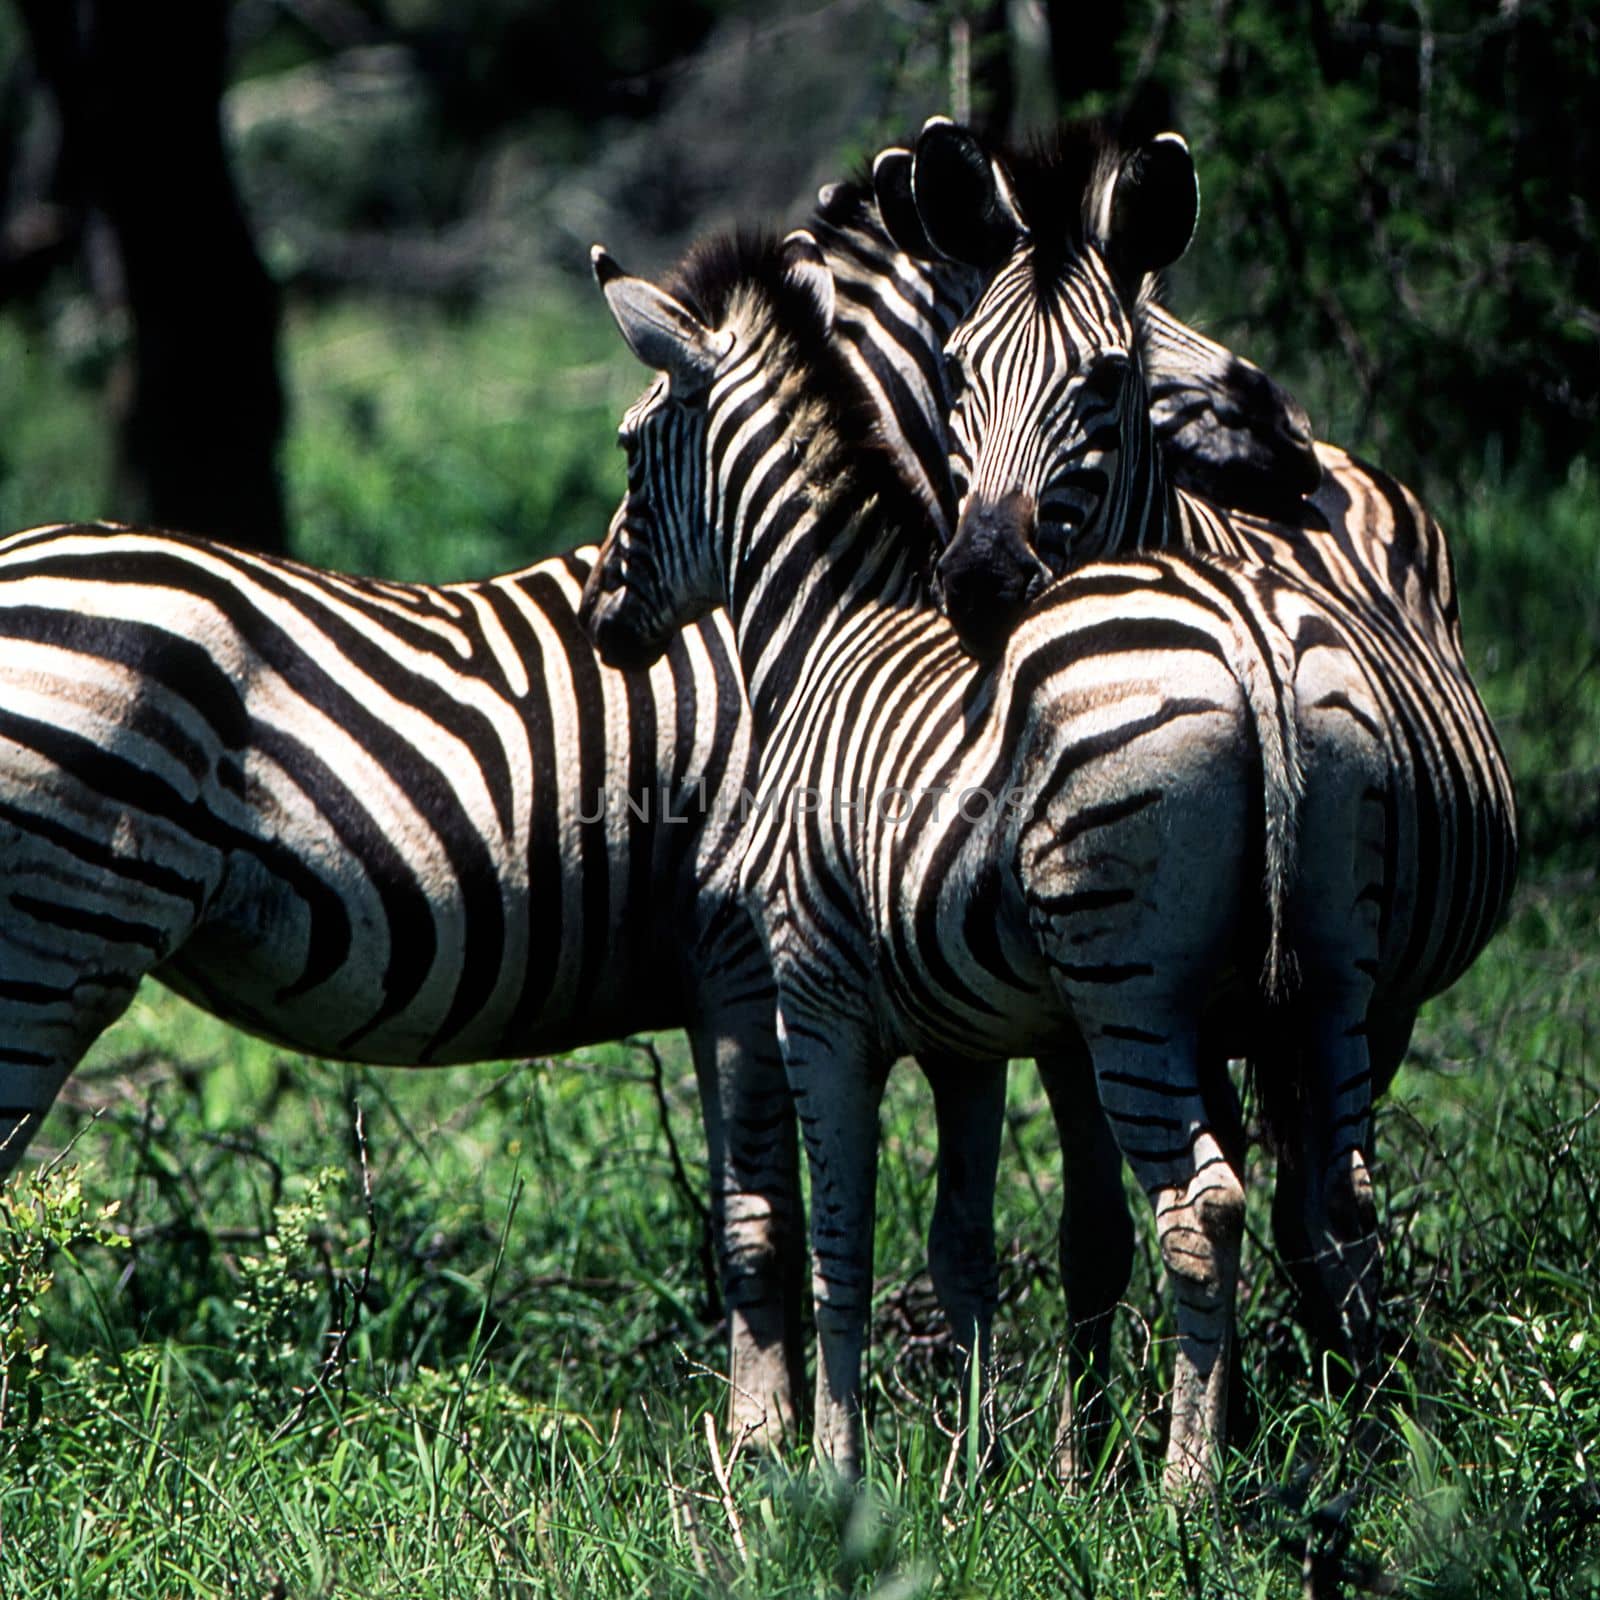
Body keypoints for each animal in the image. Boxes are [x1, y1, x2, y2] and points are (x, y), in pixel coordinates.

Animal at [582, 222, 1395, 1484]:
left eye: (628, 448)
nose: (596, 615)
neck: (819, 636)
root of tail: (1249, 636)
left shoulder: (814, 1001)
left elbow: (842, 1241)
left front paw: (835, 1470)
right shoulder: (962, 1037)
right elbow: (959, 1246)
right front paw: (972, 1469)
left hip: (1128, 992)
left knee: (1202, 1208)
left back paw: (1186, 1489)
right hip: (1335, 967)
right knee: (1342, 1202)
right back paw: (1380, 1457)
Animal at [883, 116, 1516, 1388]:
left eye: (1101, 378)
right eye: (957, 372)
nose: (980, 577)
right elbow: (1106, 1220)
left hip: (1376, 993)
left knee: (1313, 1187)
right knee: (1311, 1186)